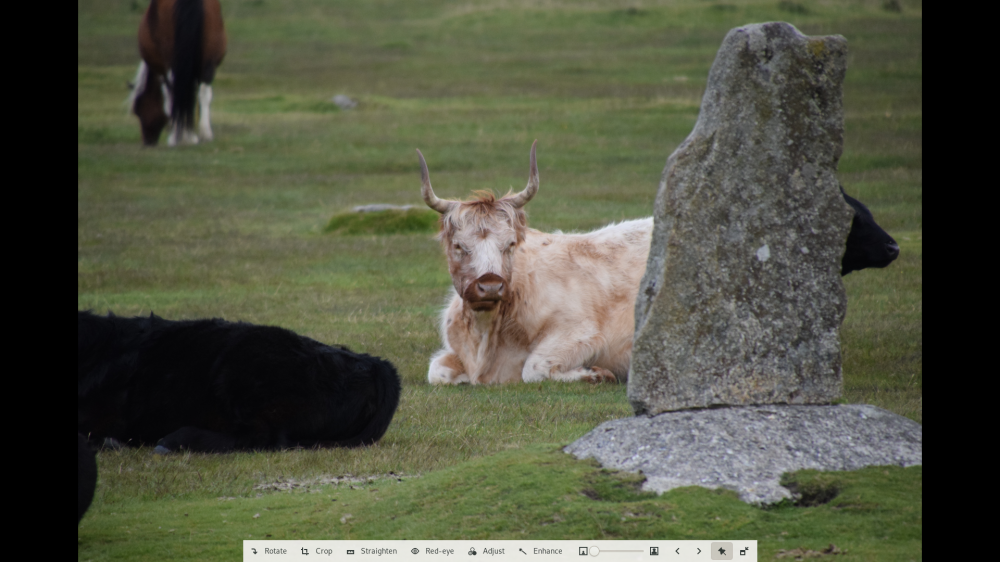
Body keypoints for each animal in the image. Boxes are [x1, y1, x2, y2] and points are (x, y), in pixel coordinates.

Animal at [418, 142, 900, 385]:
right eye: (459, 245)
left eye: (510, 244)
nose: (490, 286)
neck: (490, 337)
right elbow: (436, 372)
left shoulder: (579, 333)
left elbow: (535, 369)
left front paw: (595, 374)